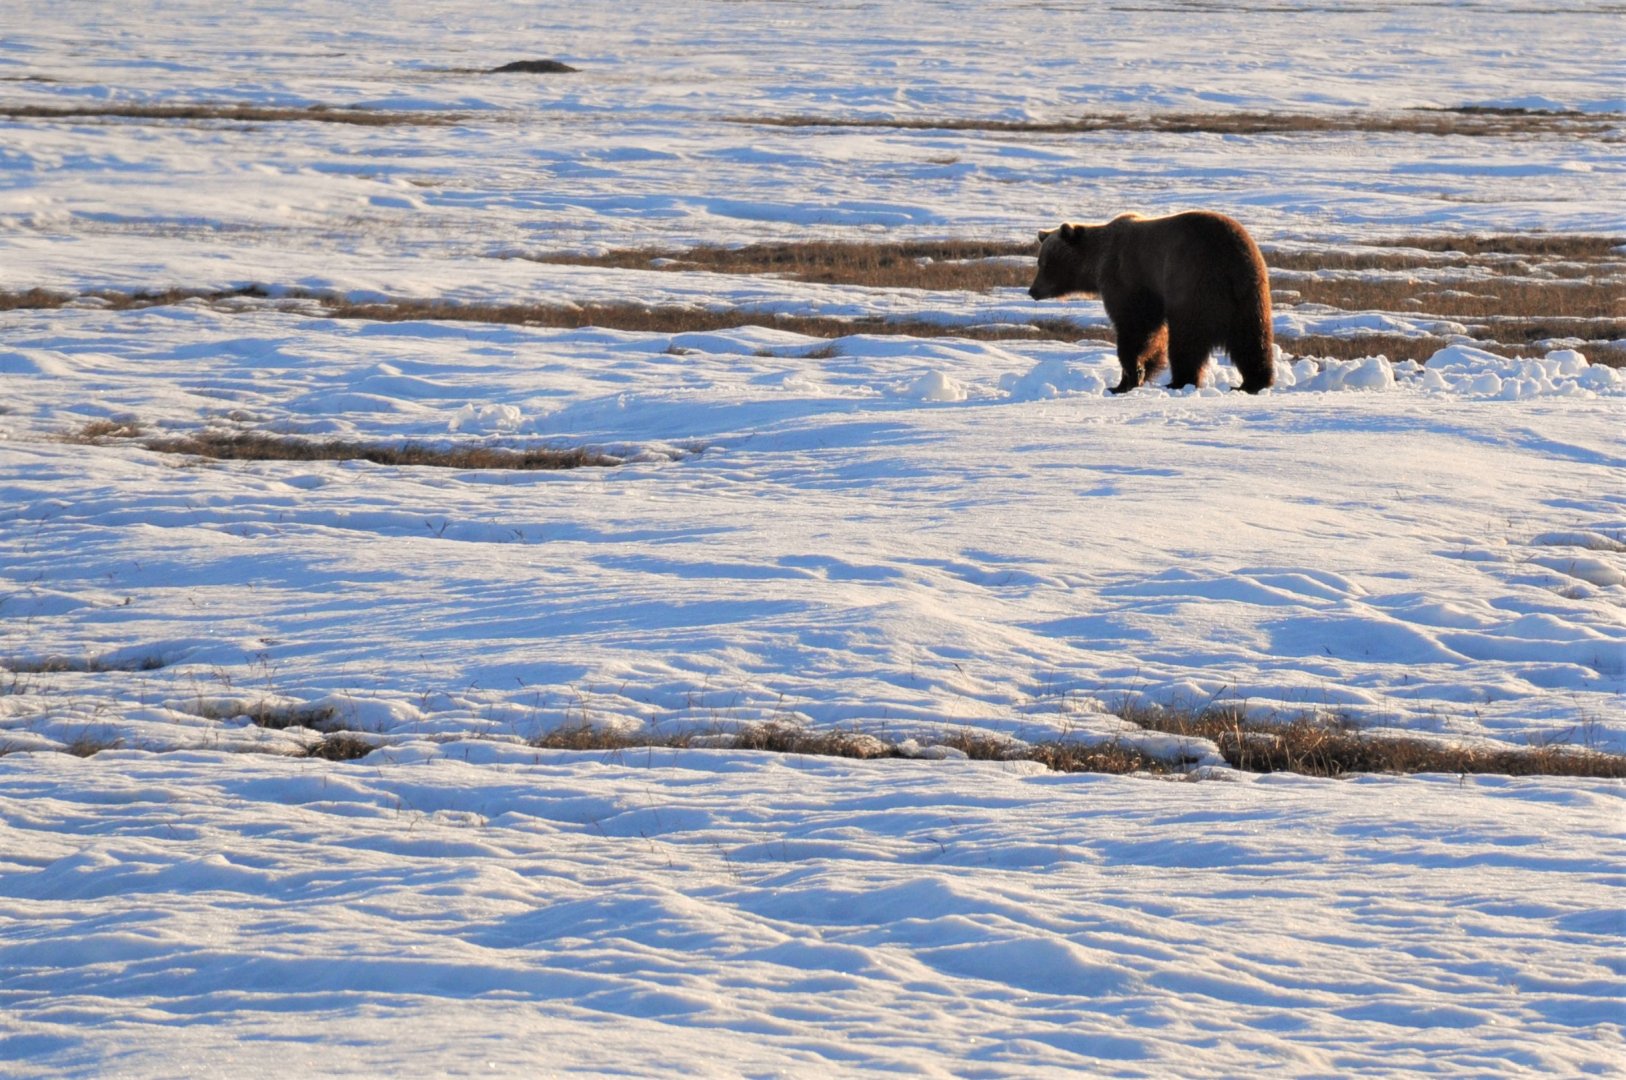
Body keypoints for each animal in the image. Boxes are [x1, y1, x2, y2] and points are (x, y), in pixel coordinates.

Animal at [1028, 211, 1274, 394]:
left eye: (1044, 262)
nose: (1032, 290)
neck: (1097, 261)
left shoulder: (1128, 278)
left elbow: (1134, 328)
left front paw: (1126, 379)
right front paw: (1143, 371)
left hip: (1193, 286)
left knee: (1186, 341)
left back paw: (1178, 382)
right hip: (1250, 295)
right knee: (1252, 341)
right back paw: (1253, 382)